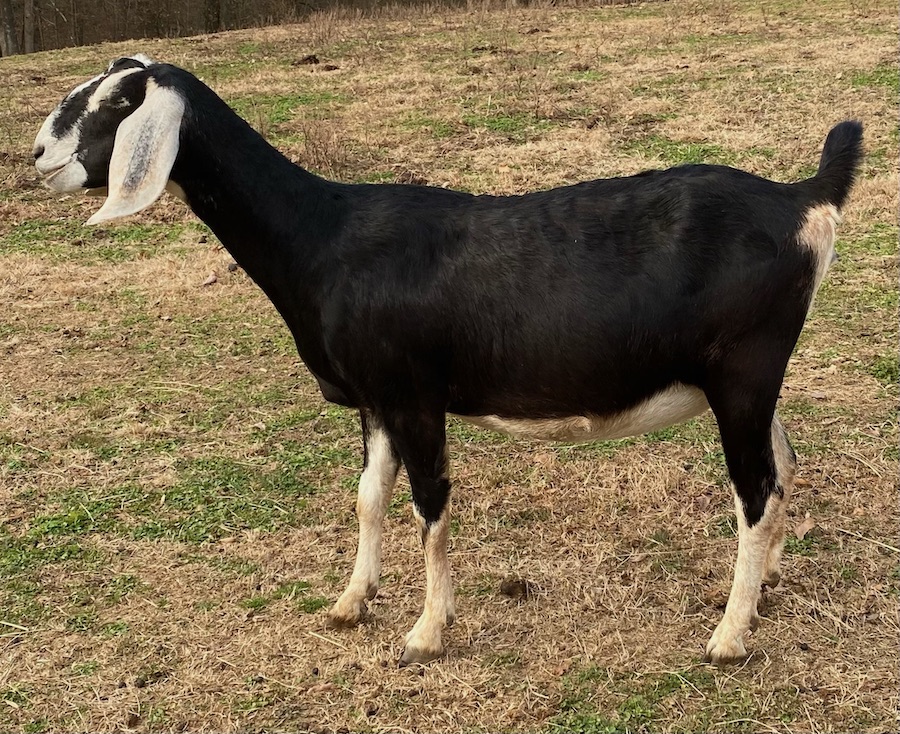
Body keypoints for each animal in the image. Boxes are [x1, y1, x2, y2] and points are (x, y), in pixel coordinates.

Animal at [33, 56, 862, 666]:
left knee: (755, 488)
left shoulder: (413, 393)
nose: (39, 156)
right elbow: (369, 497)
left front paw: (427, 633)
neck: (324, 237)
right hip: (749, 380)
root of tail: (803, 200)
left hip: (744, 370)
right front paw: (351, 602)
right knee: (785, 466)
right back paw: (766, 585)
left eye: (114, 103)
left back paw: (728, 637)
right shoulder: (373, 398)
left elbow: (429, 504)